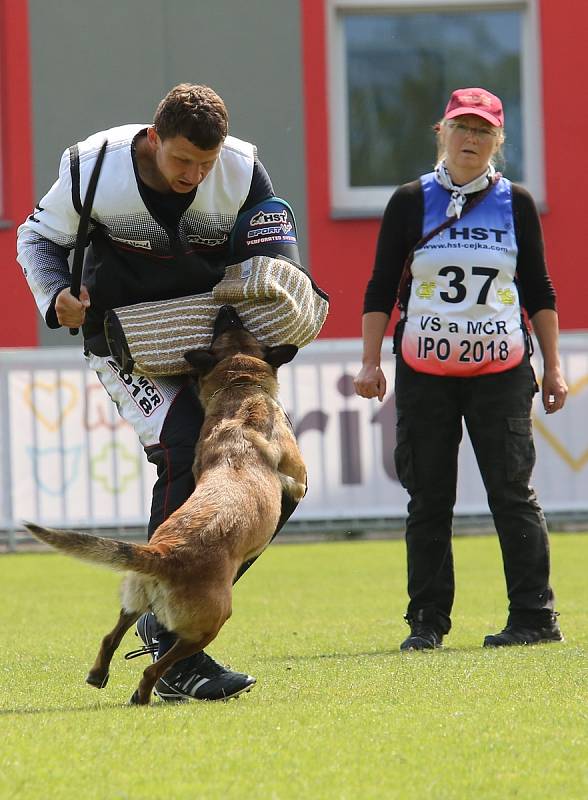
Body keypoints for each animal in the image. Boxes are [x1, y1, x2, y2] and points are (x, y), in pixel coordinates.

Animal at [25, 306, 306, 708]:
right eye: (230, 325)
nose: (226, 308)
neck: (240, 390)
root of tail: (162, 553)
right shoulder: (298, 478)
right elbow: (293, 487)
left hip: (135, 599)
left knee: (112, 636)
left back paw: (99, 673)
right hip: (211, 622)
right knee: (154, 666)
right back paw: (144, 694)